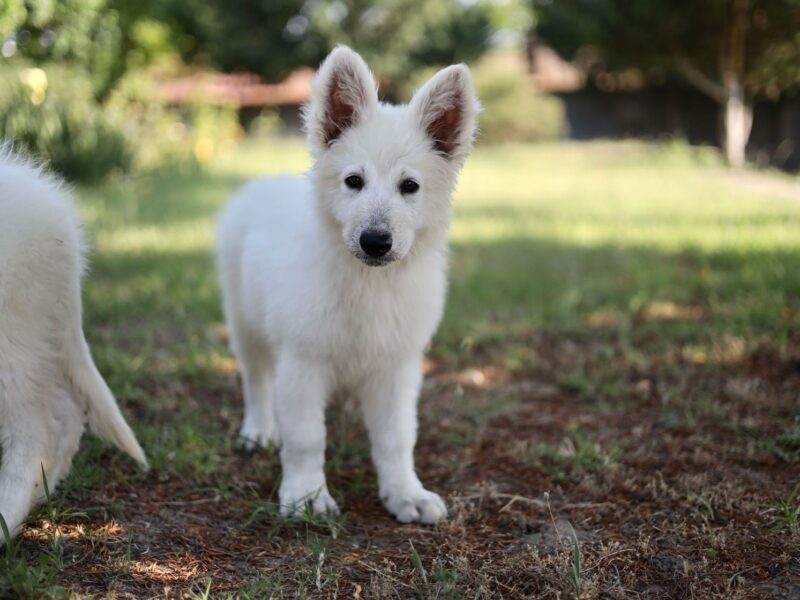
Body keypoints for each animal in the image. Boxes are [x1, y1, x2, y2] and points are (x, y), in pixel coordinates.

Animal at [216, 47, 478, 524]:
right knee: (256, 381)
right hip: (245, 324)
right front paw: (306, 496)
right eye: (353, 181)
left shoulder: (396, 368)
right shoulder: (302, 362)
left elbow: (397, 439)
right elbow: (305, 438)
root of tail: (263, 184)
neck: (368, 283)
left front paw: (405, 494)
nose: (375, 241)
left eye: (409, 186)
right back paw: (258, 432)